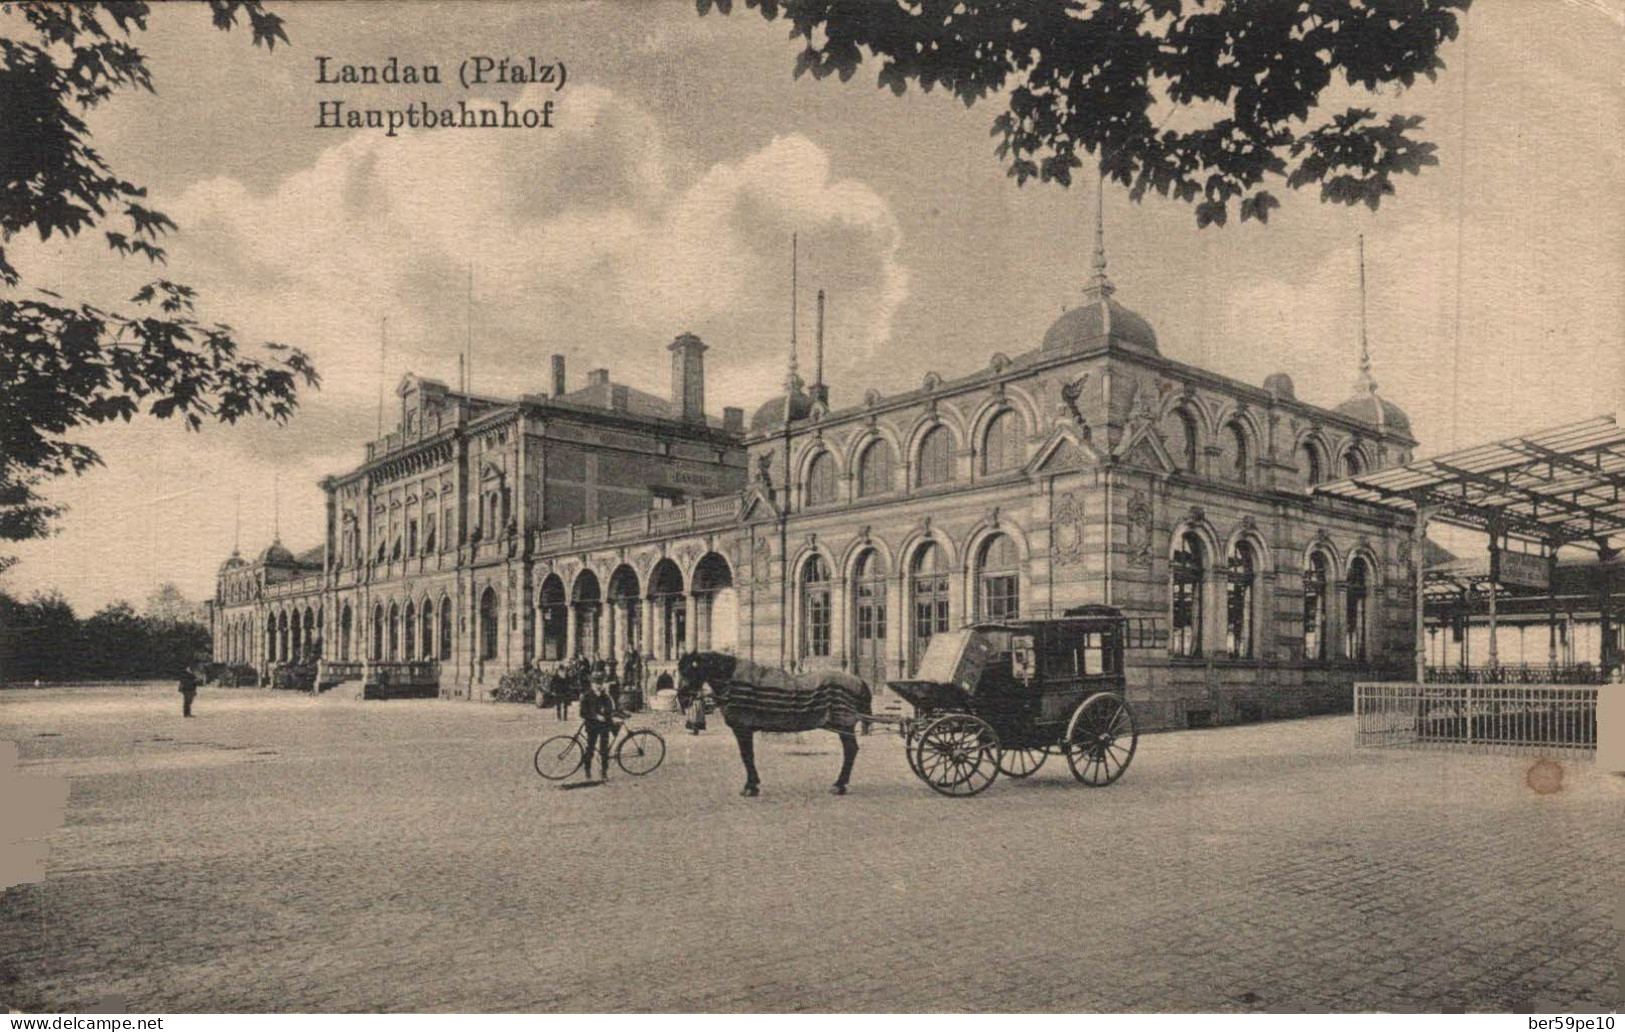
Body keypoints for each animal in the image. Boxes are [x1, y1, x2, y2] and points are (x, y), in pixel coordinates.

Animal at [676, 653, 877, 799]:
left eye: (689, 671)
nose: (682, 698)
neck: (732, 680)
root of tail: (858, 680)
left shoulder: (743, 729)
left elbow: (747, 756)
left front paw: (750, 787)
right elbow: (748, 756)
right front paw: (753, 785)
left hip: (844, 725)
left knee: (850, 750)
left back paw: (839, 785)